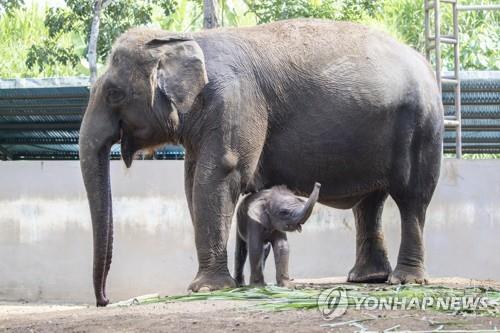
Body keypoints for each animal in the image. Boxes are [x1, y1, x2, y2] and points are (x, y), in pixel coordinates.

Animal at [79, 17, 446, 304]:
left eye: (114, 93)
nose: (105, 300)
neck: (184, 37)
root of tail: (427, 65)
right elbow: (192, 181)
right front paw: (214, 285)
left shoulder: (234, 101)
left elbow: (218, 174)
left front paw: (207, 289)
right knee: (370, 204)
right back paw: (366, 278)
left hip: (422, 126)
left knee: (412, 198)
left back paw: (406, 280)